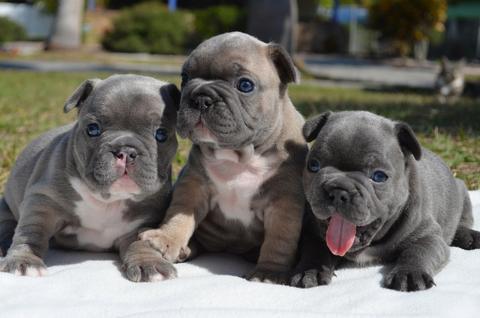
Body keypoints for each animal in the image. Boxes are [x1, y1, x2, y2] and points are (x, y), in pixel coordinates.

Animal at [0, 74, 180, 280]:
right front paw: (24, 260)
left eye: (161, 134)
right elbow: (31, 231)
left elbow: (142, 241)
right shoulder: (43, 202)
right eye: (93, 129)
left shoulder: (145, 221)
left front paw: (149, 263)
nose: (126, 151)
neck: (108, 201)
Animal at [139, 31, 308, 284]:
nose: (200, 98)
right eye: (185, 77)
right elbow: (179, 215)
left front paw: (269, 271)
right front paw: (166, 238)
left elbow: (279, 239)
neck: (239, 157)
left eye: (245, 85)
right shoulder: (193, 186)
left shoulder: (284, 201)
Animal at [290, 111, 478, 290]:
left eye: (379, 176)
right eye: (313, 166)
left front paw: (409, 273)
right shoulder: (312, 234)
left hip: (462, 191)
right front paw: (310, 271)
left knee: (463, 221)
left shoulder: (428, 236)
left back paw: (470, 236)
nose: (338, 191)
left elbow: (418, 251)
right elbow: (315, 250)